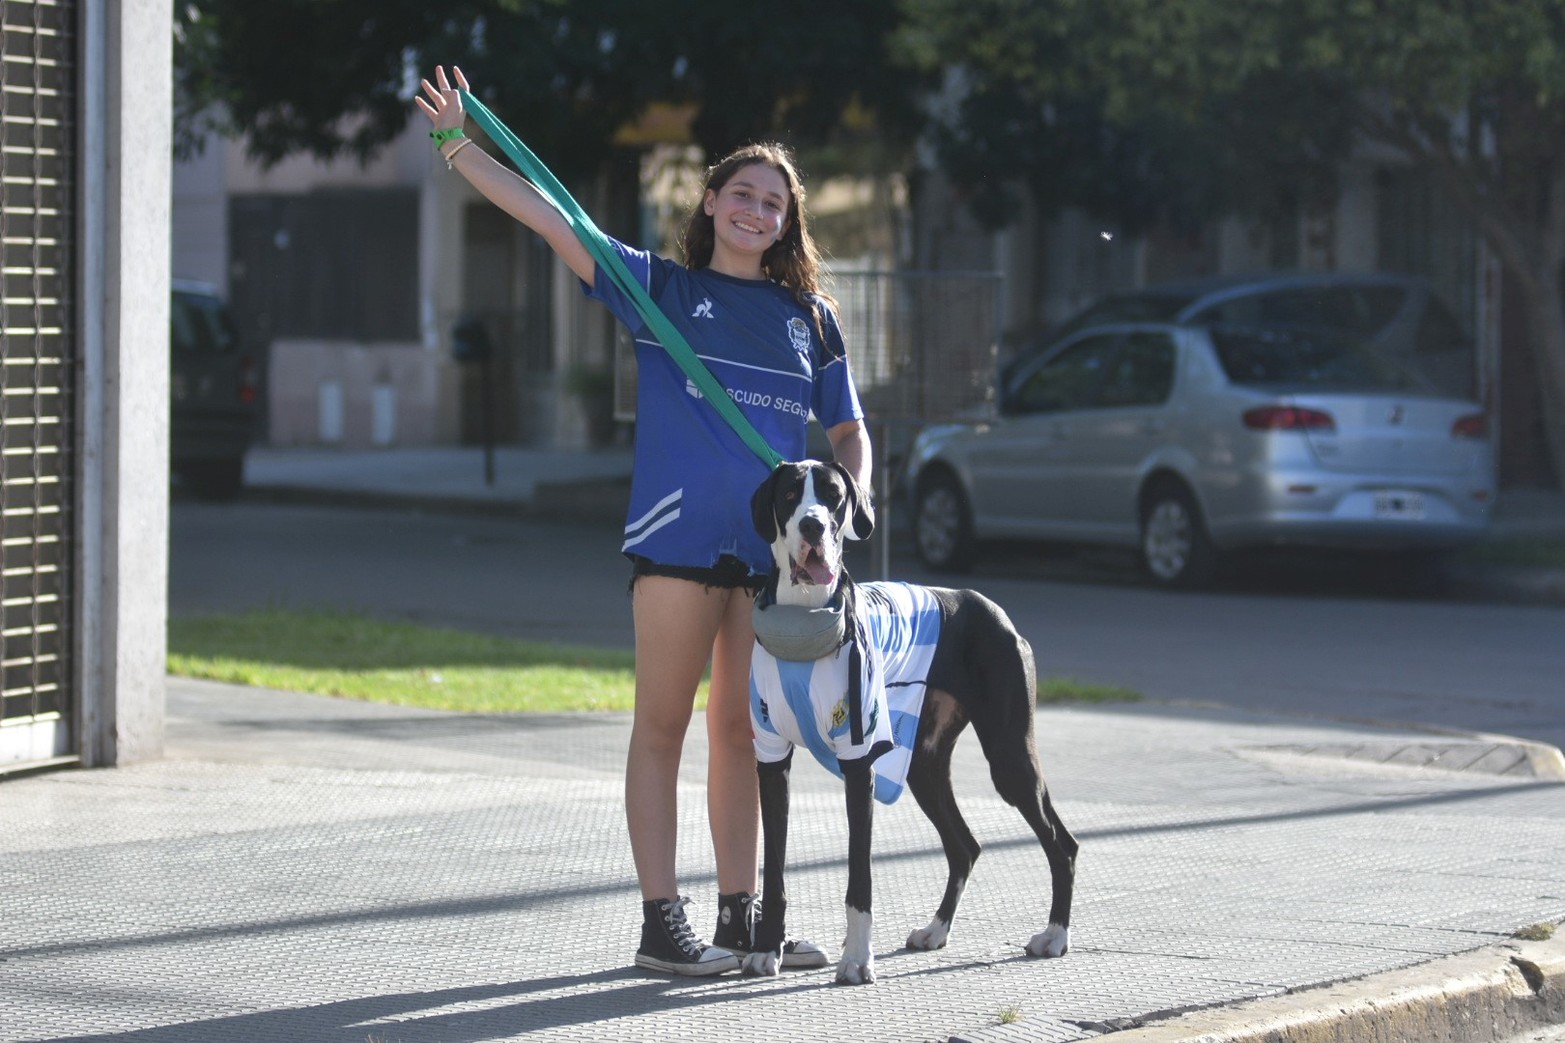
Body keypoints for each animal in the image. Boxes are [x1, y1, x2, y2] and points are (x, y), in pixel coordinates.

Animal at [744, 460, 1076, 977]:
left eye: (834, 495)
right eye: (791, 494)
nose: (813, 526)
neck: (805, 619)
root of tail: (993, 609)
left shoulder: (858, 761)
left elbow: (859, 875)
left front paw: (857, 959)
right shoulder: (771, 759)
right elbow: (774, 867)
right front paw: (766, 948)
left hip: (1009, 758)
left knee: (1062, 844)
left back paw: (1056, 935)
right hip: (924, 765)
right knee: (965, 847)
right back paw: (936, 929)